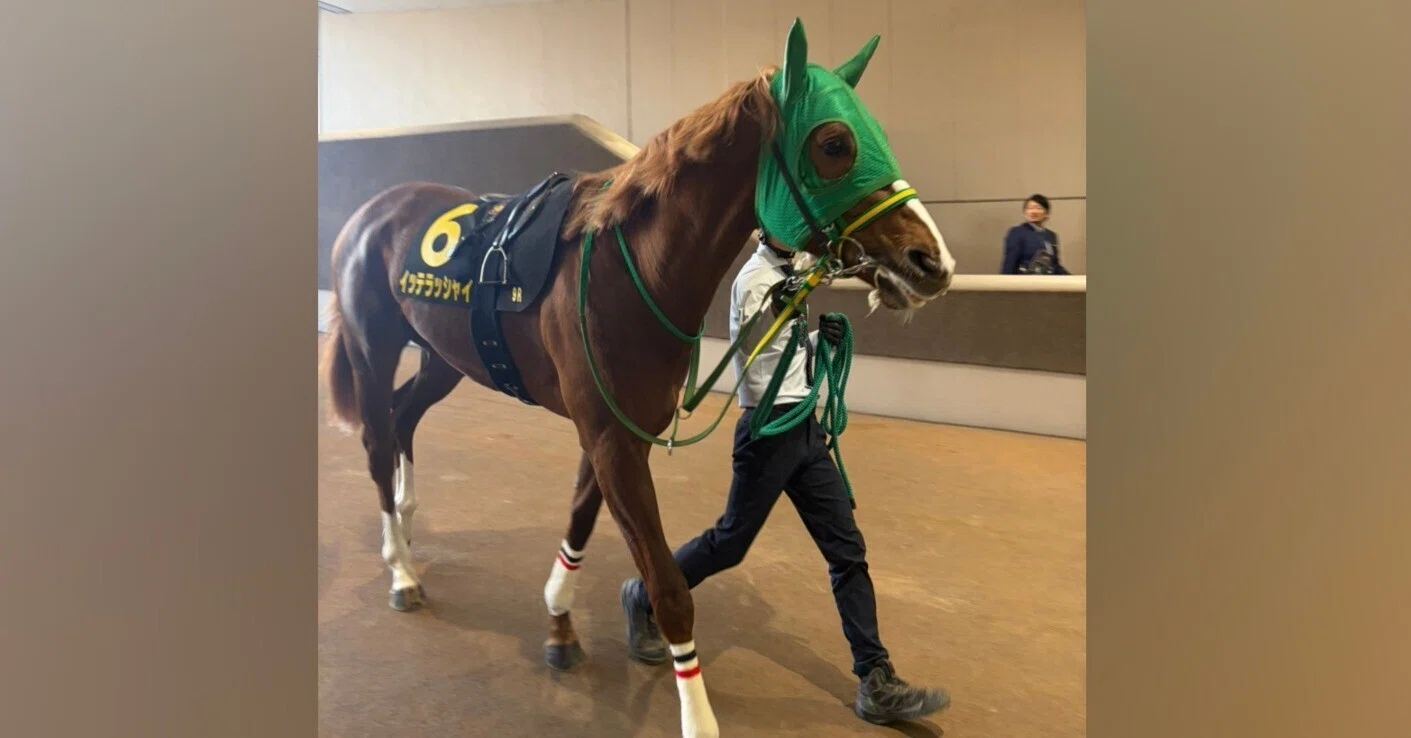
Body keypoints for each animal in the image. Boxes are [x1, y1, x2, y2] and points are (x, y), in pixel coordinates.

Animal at [319, 19, 955, 737]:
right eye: (835, 144)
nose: (931, 262)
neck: (632, 270)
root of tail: (373, 210)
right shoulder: (610, 438)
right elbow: (668, 587)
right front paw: (697, 716)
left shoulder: (618, 431)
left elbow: (579, 520)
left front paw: (560, 622)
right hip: (373, 347)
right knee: (376, 440)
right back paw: (400, 570)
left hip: (442, 358)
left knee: (403, 417)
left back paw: (406, 520)